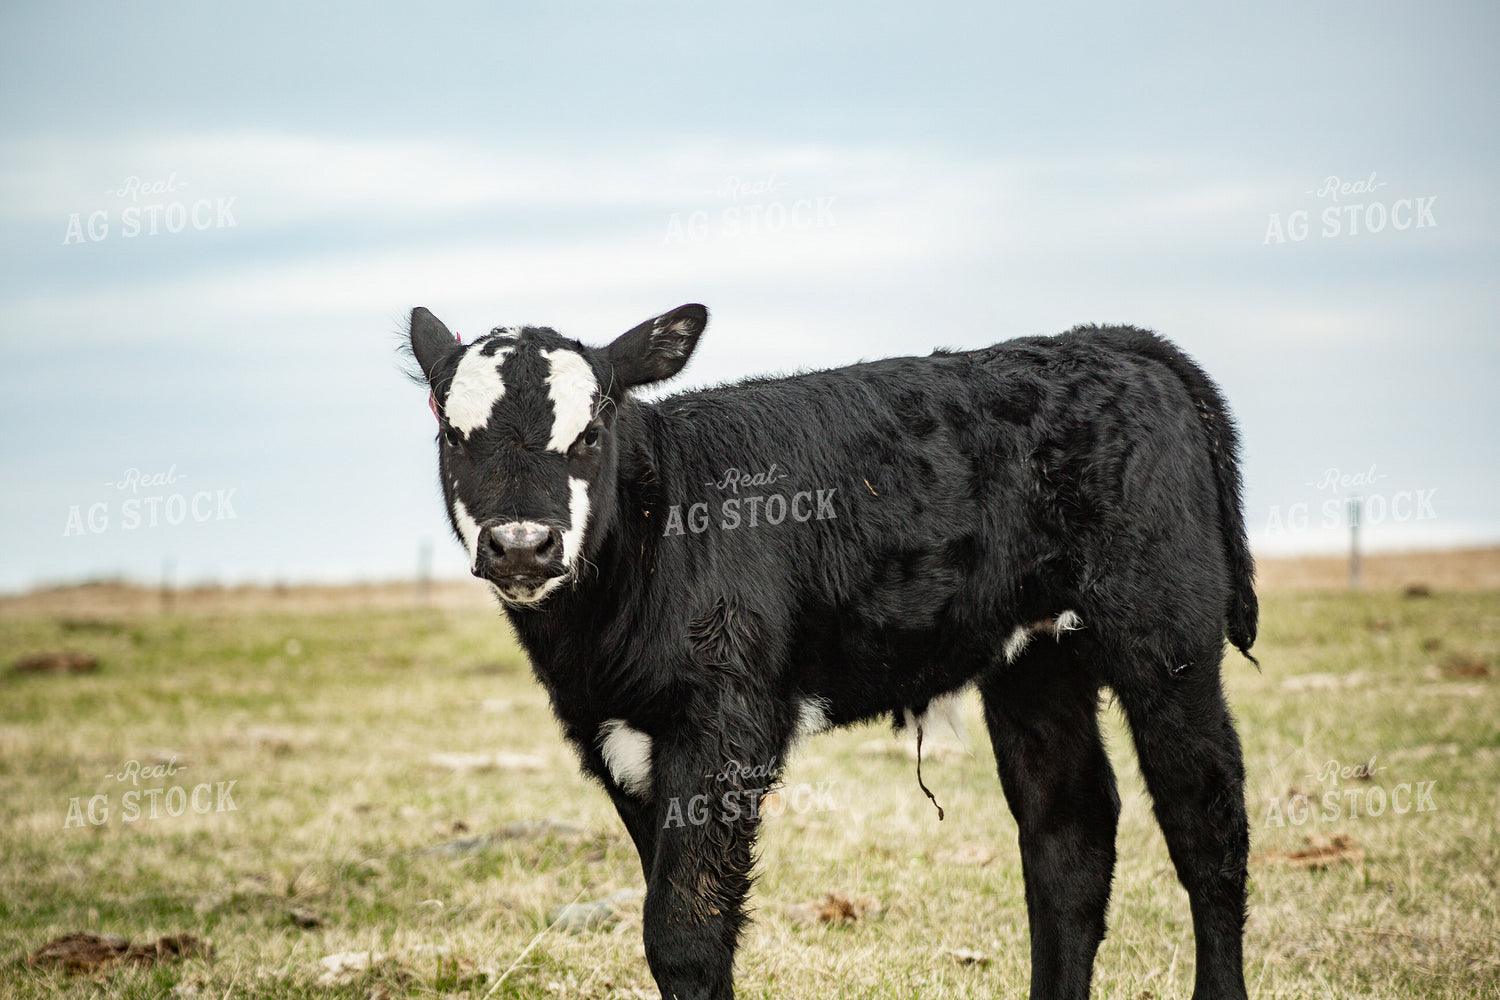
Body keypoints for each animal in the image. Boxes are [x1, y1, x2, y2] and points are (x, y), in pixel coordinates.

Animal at [407, 303, 1257, 1000]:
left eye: (588, 434)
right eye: (452, 433)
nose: (522, 545)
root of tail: (1105, 340)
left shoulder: (726, 724)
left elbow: (685, 933)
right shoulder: (613, 734)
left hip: (1167, 637)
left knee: (1207, 827)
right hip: (1035, 660)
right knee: (1069, 836)